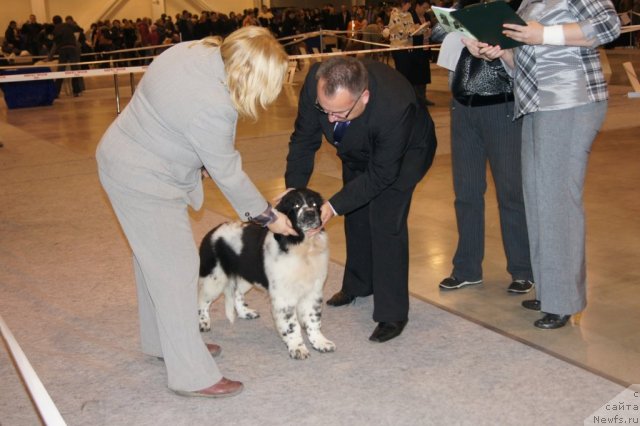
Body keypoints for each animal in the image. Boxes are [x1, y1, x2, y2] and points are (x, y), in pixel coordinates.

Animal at [196, 188, 336, 358]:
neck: (303, 246)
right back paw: (203, 322)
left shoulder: (313, 291)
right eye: (295, 205)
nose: (310, 213)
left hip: (246, 276)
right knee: (202, 300)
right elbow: (291, 325)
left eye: (314, 204)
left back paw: (244, 312)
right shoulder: (284, 296)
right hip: (214, 277)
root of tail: (212, 232)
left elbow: (313, 319)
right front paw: (297, 348)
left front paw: (320, 342)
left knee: (236, 293)